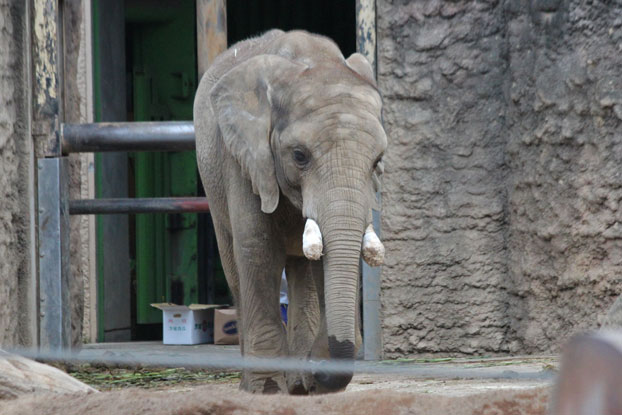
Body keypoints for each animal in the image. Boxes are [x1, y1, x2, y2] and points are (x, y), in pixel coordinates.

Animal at [195, 30, 388, 396]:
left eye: (377, 162)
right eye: (299, 156)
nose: (319, 368)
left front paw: (311, 381)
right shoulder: (243, 160)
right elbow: (257, 249)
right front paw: (268, 388)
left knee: (302, 268)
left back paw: (298, 383)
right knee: (236, 269)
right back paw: (253, 385)